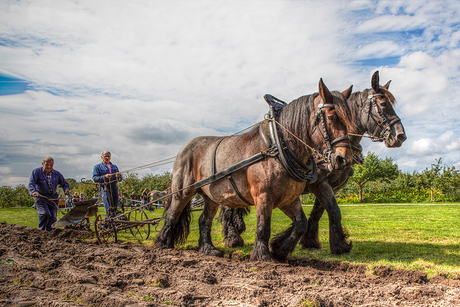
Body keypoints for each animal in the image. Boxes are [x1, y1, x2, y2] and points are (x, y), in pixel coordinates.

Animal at [154, 79, 352, 262]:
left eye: (349, 120)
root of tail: (185, 147)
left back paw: (208, 249)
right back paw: (163, 244)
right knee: (172, 214)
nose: (343, 158)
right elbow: (263, 226)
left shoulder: (288, 198)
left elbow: (301, 224)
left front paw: (280, 249)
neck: (278, 146)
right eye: (331, 117)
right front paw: (262, 255)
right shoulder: (263, 195)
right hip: (183, 190)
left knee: (204, 220)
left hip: (211, 197)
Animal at [222, 71, 406, 255]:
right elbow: (334, 211)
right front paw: (339, 245)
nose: (400, 136)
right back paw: (233, 238)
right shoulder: (319, 183)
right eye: (383, 104)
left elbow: (318, 212)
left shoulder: (330, 186)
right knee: (228, 208)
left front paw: (307, 240)